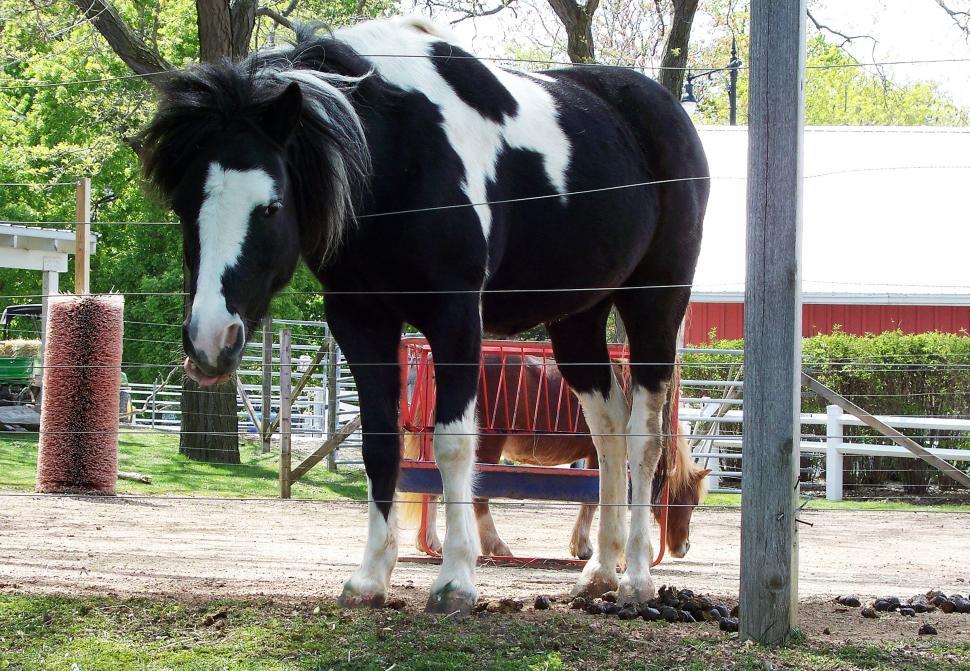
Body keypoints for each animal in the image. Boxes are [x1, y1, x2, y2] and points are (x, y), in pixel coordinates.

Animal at [400, 353, 710, 560]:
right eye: (691, 502)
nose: (684, 548)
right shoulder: (599, 455)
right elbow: (594, 499)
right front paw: (583, 547)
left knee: (435, 491)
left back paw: (432, 542)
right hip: (486, 446)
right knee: (478, 499)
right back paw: (496, 546)